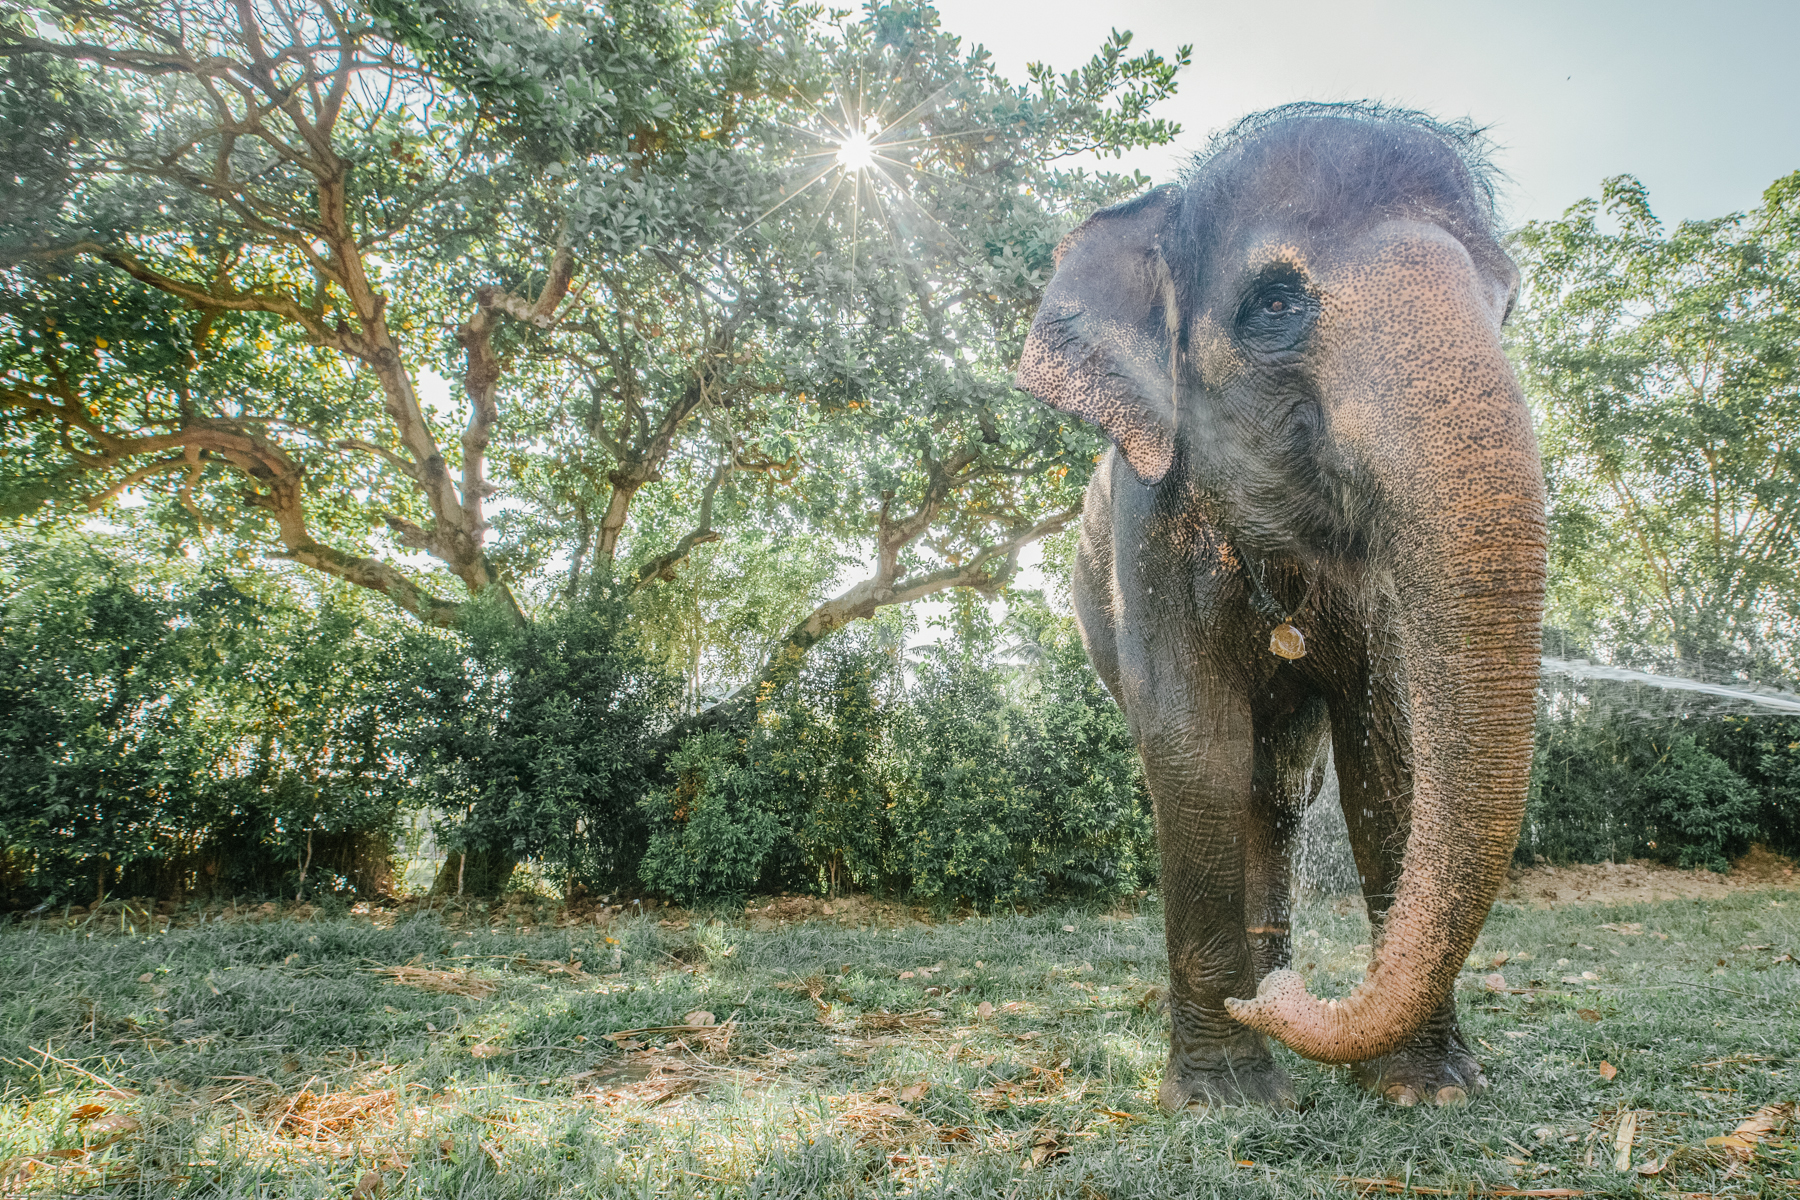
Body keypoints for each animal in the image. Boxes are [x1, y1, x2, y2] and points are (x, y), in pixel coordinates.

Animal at [1015, 105, 1548, 1115]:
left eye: (1505, 304)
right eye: (1272, 304)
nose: (1287, 998)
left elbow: (1389, 762)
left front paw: (1429, 1091)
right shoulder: (1149, 522)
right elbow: (1194, 749)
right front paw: (1224, 1101)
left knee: (1283, 792)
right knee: (1243, 778)